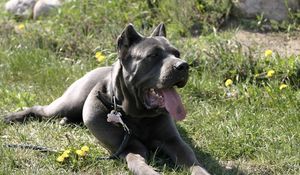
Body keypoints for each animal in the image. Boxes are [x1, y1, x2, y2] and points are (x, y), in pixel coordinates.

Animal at [5, 23, 211, 175]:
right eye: (153, 56)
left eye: (177, 54)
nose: (183, 66)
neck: (137, 115)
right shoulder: (130, 147)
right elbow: (139, 164)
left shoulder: (173, 142)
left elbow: (192, 160)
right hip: (67, 103)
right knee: (39, 109)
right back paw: (11, 117)